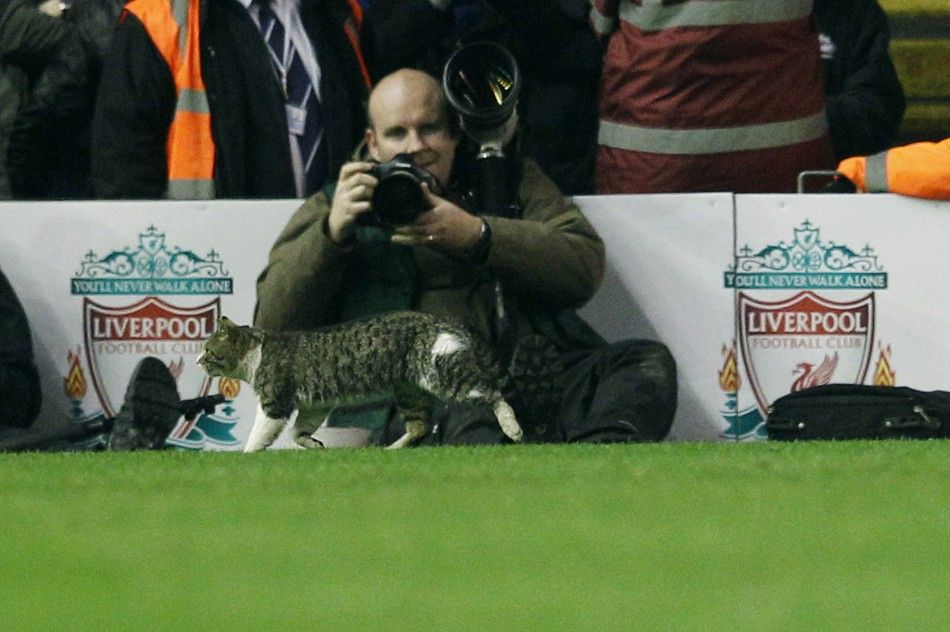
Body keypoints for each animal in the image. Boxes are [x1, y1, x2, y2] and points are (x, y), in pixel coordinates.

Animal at [197, 312, 524, 450]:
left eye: (209, 351)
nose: (199, 360)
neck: (256, 355)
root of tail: (444, 320)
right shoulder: (314, 406)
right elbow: (298, 432)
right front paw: (313, 444)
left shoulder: (274, 402)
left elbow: (259, 435)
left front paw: (247, 455)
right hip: (410, 391)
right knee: (419, 426)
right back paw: (390, 450)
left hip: (446, 378)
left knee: (495, 394)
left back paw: (513, 428)